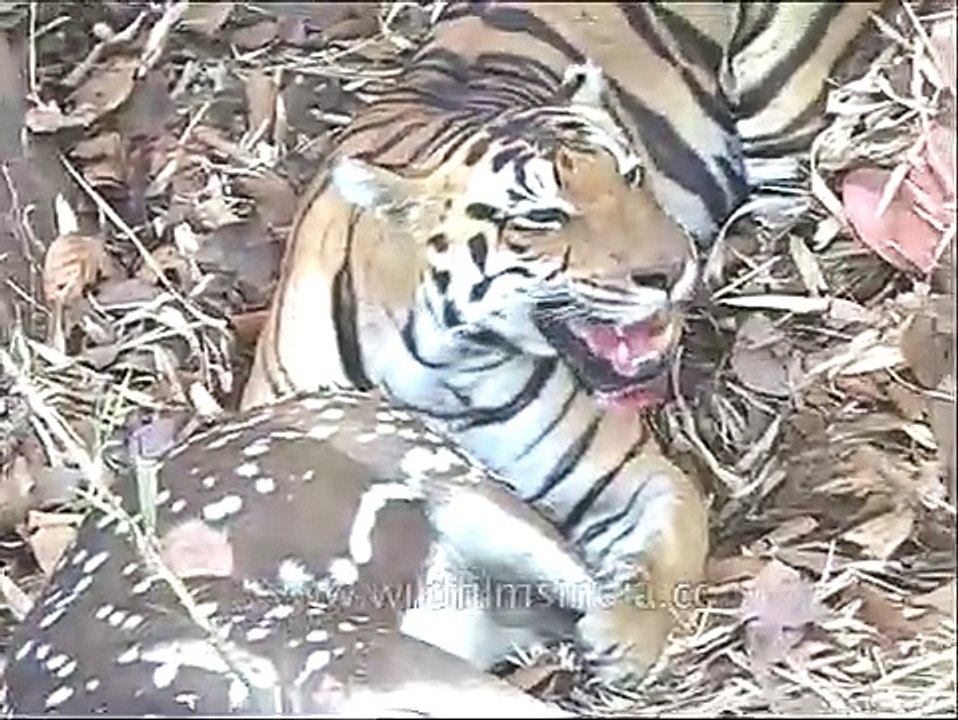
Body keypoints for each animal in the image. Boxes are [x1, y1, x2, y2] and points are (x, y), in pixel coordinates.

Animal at [240, 1, 886, 687]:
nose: (674, 268)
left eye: (632, 174)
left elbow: (672, 542)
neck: (444, 371)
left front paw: (626, 636)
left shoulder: (634, 474)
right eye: (543, 218)